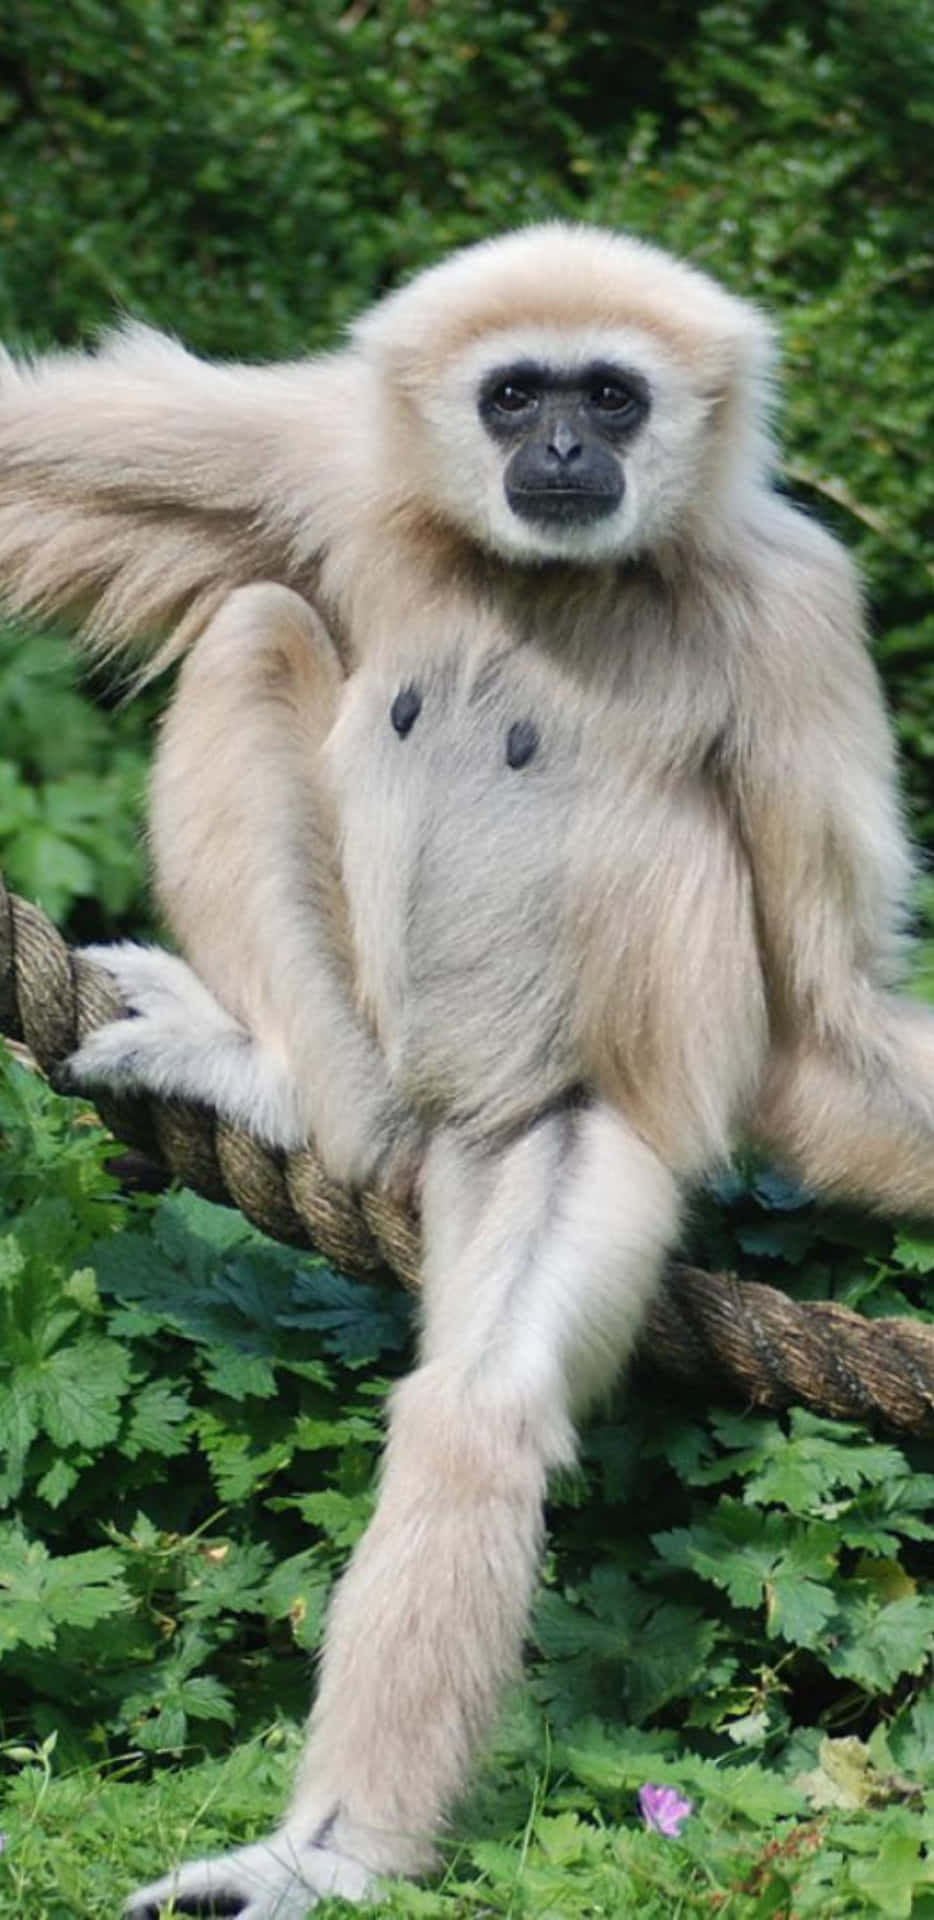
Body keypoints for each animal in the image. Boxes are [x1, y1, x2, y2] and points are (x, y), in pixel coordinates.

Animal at [1, 222, 933, 1918]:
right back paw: (283, 1085)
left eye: (608, 396)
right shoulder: (332, 465)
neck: (548, 579)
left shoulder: (795, 610)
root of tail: (423, 1131)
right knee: (254, 625)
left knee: (475, 1411)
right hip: (365, 1032)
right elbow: (39, 472)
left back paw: (324, 1855)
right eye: (513, 395)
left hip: (562, 1127)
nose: (559, 448)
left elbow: (824, 1011)